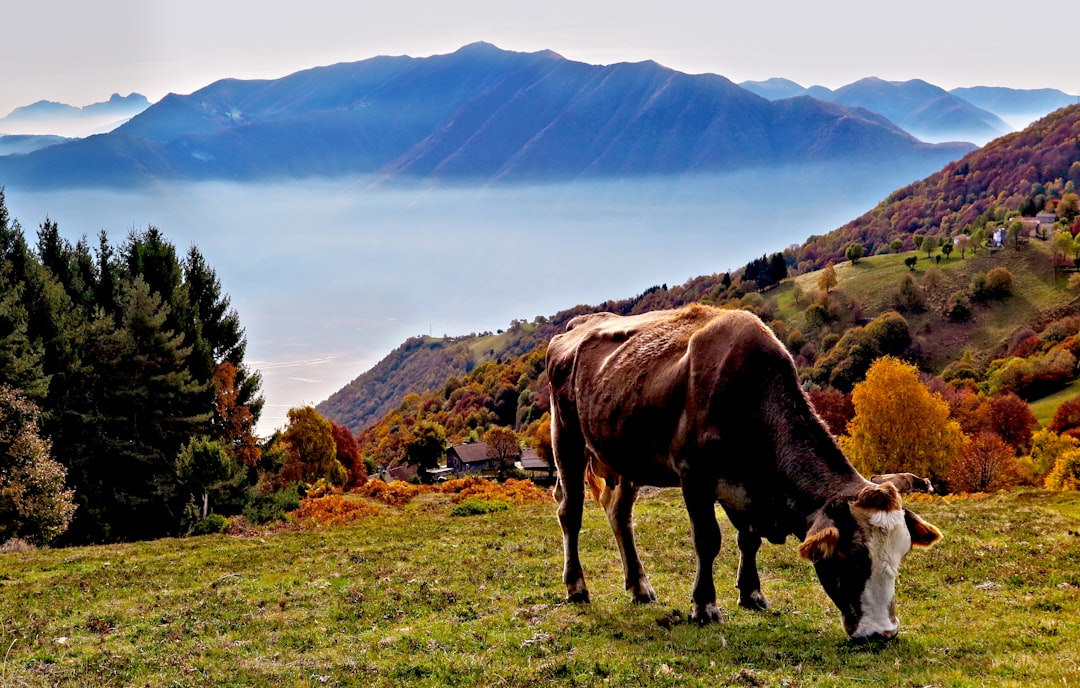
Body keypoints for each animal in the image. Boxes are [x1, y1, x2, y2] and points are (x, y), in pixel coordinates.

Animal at [544, 306, 941, 639]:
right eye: (854, 558)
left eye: (900, 556)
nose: (883, 632)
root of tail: (580, 323)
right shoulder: (694, 475)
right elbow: (708, 539)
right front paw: (705, 607)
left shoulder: (747, 487)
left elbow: (749, 540)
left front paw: (751, 593)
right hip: (566, 437)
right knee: (570, 512)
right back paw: (576, 587)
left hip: (624, 457)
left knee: (619, 514)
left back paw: (640, 587)